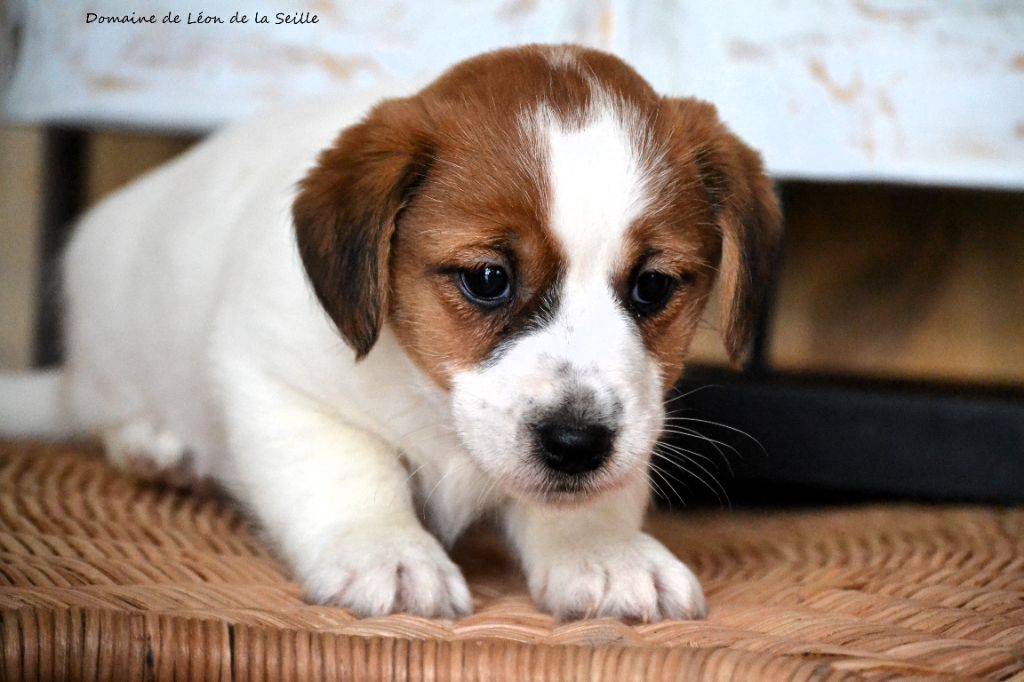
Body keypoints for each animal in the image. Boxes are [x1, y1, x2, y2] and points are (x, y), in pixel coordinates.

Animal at [2, 43, 782, 622]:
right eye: (488, 278)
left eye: (653, 287)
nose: (576, 445)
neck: (429, 398)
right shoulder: (280, 384)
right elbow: (355, 471)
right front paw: (389, 553)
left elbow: (594, 498)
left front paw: (606, 551)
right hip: (112, 362)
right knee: (100, 414)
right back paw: (155, 447)